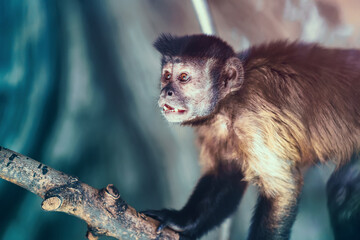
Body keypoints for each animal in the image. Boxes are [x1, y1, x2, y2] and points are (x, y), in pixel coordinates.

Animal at [142, 34, 360, 240]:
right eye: (166, 75)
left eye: (183, 77)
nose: (166, 92)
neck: (229, 102)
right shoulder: (215, 129)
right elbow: (226, 174)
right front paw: (179, 222)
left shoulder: (254, 120)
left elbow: (282, 190)